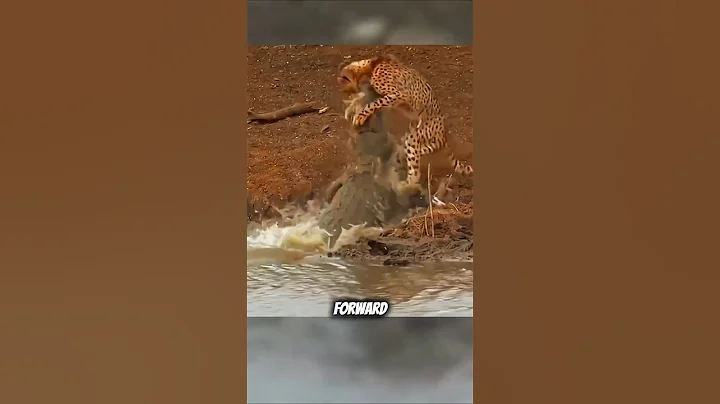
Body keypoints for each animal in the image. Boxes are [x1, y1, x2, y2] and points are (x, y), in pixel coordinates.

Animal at [337, 54, 473, 193]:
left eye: (347, 91)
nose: (347, 96)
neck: (371, 66)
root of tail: (443, 132)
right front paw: (353, 110)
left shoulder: (399, 94)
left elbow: (375, 103)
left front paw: (361, 115)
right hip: (415, 134)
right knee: (421, 150)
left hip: (415, 136)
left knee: (415, 170)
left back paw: (404, 185)